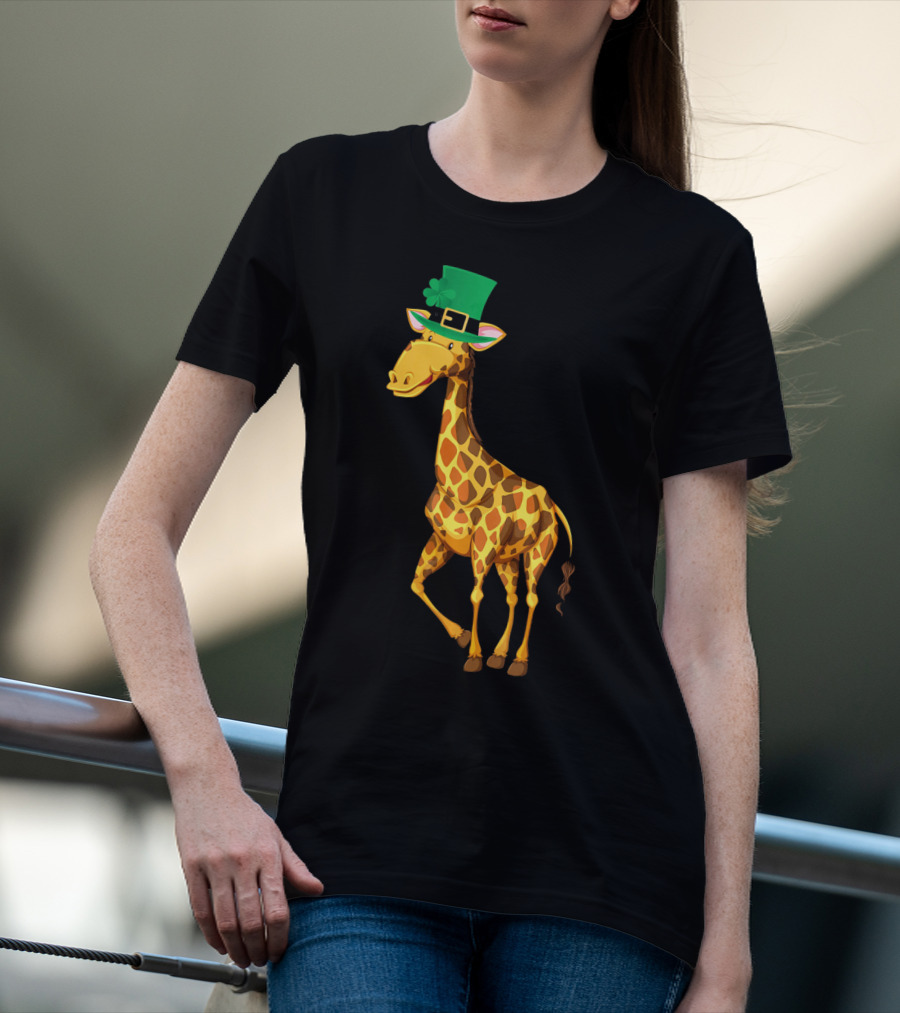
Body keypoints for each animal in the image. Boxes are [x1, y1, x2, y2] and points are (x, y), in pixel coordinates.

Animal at [385, 298, 575, 677]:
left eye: (454, 346)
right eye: (424, 335)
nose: (400, 378)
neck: (459, 486)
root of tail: (553, 504)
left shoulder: (482, 548)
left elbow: (475, 595)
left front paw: (473, 656)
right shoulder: (443, 541)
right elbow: (416, 582)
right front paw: (461, 638)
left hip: (538, 550)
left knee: (531, 597)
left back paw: (519, 661)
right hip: (509, 558)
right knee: (513, 597)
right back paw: (500, 654)